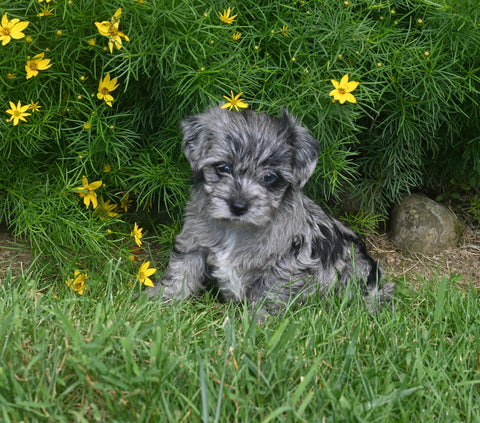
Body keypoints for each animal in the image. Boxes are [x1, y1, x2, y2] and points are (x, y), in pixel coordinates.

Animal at [147, 107, 394, 316]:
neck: (237, 229)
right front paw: (161, 300)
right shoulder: (194, 241)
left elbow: (268, 294)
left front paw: (255, 324)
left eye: (269, 177)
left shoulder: (285, 263)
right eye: (224, 168)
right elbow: (181, 271)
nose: (238, 206)